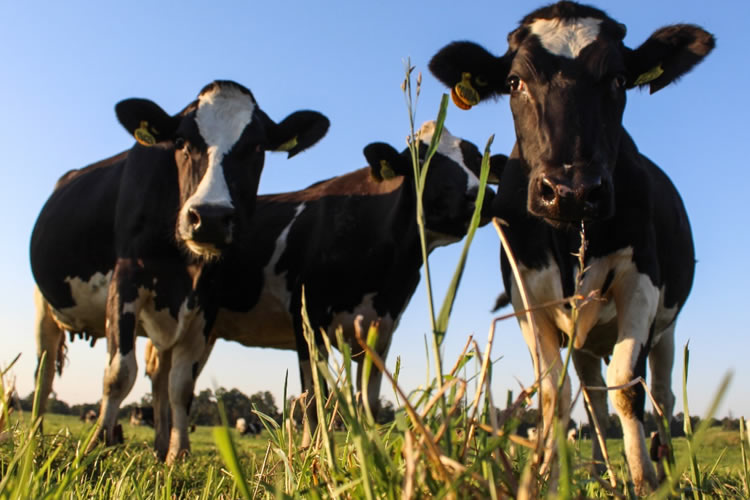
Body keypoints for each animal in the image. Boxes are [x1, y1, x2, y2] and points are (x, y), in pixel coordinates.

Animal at [145, 120, 506, 446]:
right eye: (421, 158)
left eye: (478, 159)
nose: (481, 195)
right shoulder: (308, 317)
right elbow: (314, 395)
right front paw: (314, 453)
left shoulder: (382, 328)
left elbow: (368, 404)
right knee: (168, 378)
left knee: (166, 374)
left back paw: (163, 445)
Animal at [432, 0, 712, 492]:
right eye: (514, 82)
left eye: (618, 79)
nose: (572, 191)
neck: (568, 239)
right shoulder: (527, 296)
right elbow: (554, 395)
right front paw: (549, 478)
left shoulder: (641, 281)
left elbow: (628, 386)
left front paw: (644, 482)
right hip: (585, 341)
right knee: (594, 399)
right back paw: (601, 473)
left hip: (667, 326)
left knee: (660, 394)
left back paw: (663, 468)